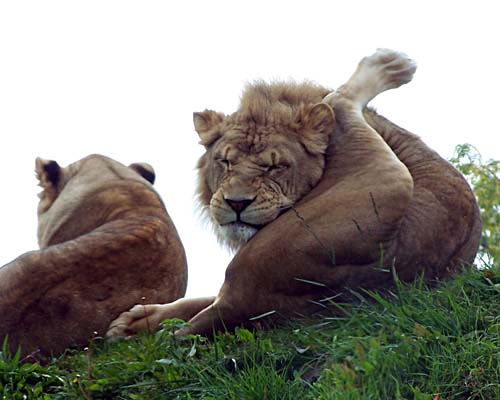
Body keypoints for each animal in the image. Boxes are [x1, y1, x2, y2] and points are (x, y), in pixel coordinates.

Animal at [107, 49, 482, 338]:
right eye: (225, 162)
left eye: (276, 167)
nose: (236, 203)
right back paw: (133, 323)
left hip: (384, 178)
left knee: (338, 101)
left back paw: (392, 64)